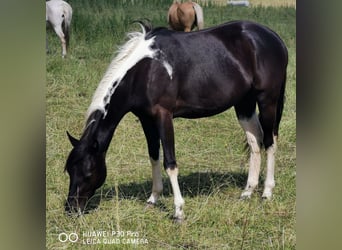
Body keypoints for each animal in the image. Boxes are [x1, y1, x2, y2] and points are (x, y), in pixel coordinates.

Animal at [65, 20, 288, 222]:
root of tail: (273, 37)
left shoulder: (164, 116)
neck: (145, 70)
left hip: (267, 100)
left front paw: (178, 210)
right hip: (244, 104)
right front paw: (153, 198)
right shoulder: (146, 119)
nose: (71, 208)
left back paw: (266, 193)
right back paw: (248, 192)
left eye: (88, 172)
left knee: (270, 142)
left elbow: (170, 163)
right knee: (255, 141)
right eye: (69, 170)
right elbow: (153, 156)